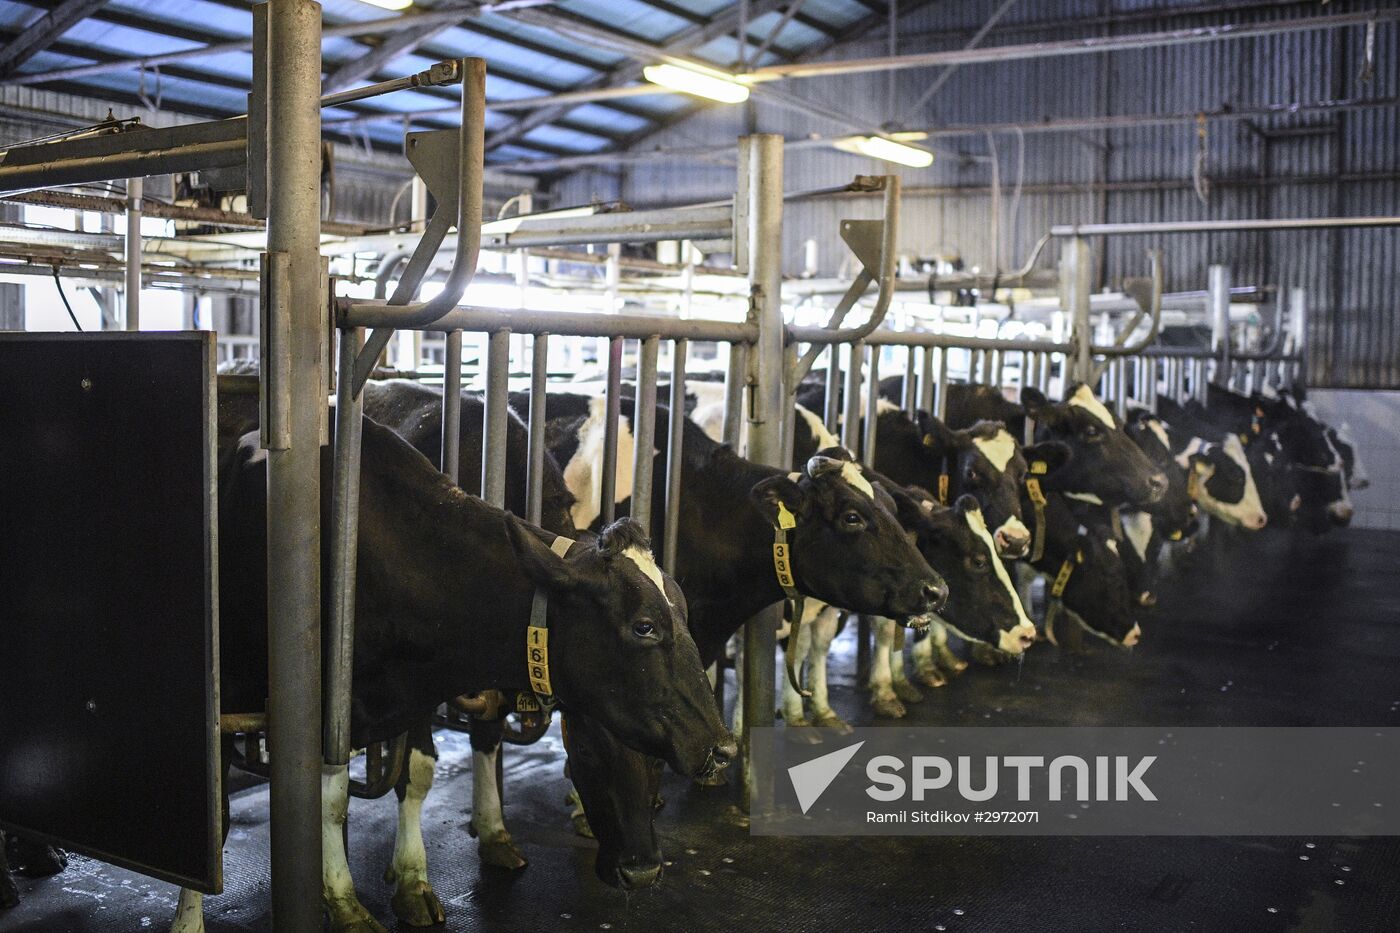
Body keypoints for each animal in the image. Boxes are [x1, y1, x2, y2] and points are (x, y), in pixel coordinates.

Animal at [173, 414, 733, 930]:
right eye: (644, 626)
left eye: (655, 757)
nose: (724, 747)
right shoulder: (301, 701)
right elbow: (248, 810)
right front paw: (338, 900)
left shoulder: (416, 686)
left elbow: (415, 775)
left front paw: (411, 880)